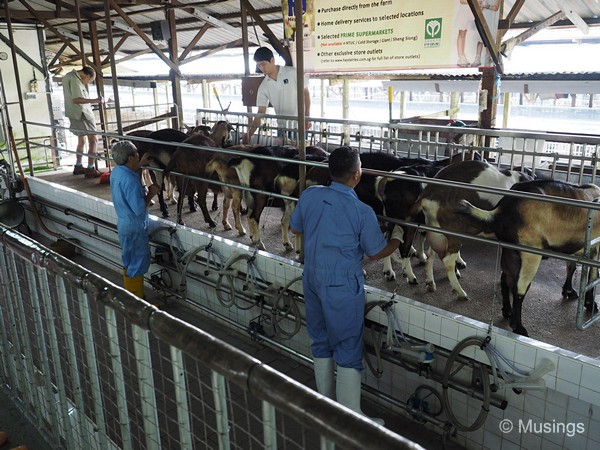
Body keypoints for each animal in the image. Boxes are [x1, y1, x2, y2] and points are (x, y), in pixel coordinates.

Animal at [410, 160, 532, 300]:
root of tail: (429, 194)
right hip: (454, 230)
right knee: (447, 260)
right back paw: (460, 292)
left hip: (437, 230)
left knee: (431, 254)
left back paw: (430, 283)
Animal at [460, 179, 600, 338]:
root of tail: (503, 208)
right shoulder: (596, 248)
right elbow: (593, 277)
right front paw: (590, 304)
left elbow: (571, 267)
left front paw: (569, 291)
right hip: (530, 252)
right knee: (519, 289)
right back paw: (518, 327)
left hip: (510, 252)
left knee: (506, 279)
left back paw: (507, 311)